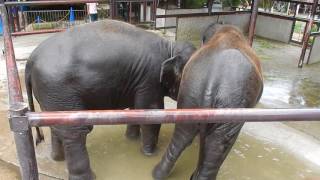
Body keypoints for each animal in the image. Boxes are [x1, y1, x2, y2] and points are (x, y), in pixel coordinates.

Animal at [25, 19, 195, 179]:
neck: (170, 47)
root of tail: (30, 60)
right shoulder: (150, 79)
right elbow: (152, 113)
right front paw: (149, 154)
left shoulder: (139, 81)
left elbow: (137, 109)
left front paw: (131, 140)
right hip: (58, 89)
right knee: (74, 132)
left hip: (50, 93)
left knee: (56, 126)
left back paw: (57, 159)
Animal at [154, 24, 264, 180]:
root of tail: (212, 80)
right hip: (230, 105)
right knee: (218, 145)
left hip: (191, 93)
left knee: (182, 135)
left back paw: (157, 174)